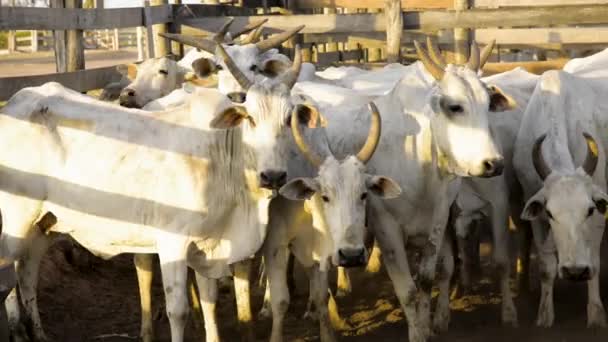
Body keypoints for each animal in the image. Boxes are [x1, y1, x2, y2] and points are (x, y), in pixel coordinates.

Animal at [512, 70, 608, 328]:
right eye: (550, 213)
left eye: (589, 210)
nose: (575, 272)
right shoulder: (535, 213)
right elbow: (546, 266)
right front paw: (545, 315)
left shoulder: (600, 213)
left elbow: (595, 261)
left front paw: (596, 314)